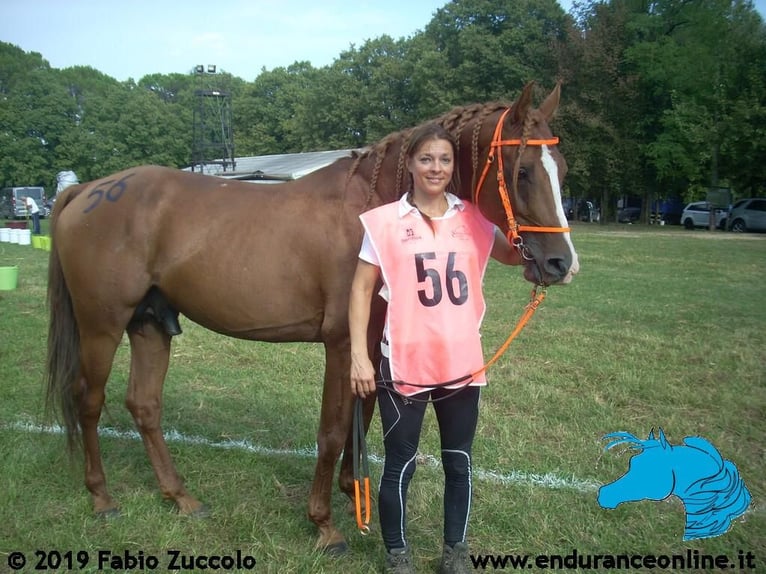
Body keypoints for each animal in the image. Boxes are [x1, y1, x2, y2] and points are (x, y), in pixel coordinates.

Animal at [45, 82, 578, 553]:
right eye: (523, 170)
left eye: (563, 169)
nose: (561, 264)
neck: (368, 212)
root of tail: (89, 189)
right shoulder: (342, 343)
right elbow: (333, 429)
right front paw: (324, 524)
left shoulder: (368, 344)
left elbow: (362, 419)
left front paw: (352, 493)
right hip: (102, 325)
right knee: (88, 400)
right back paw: (102, 497)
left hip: (151, 323)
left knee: (144, 406)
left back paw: (180, 497)